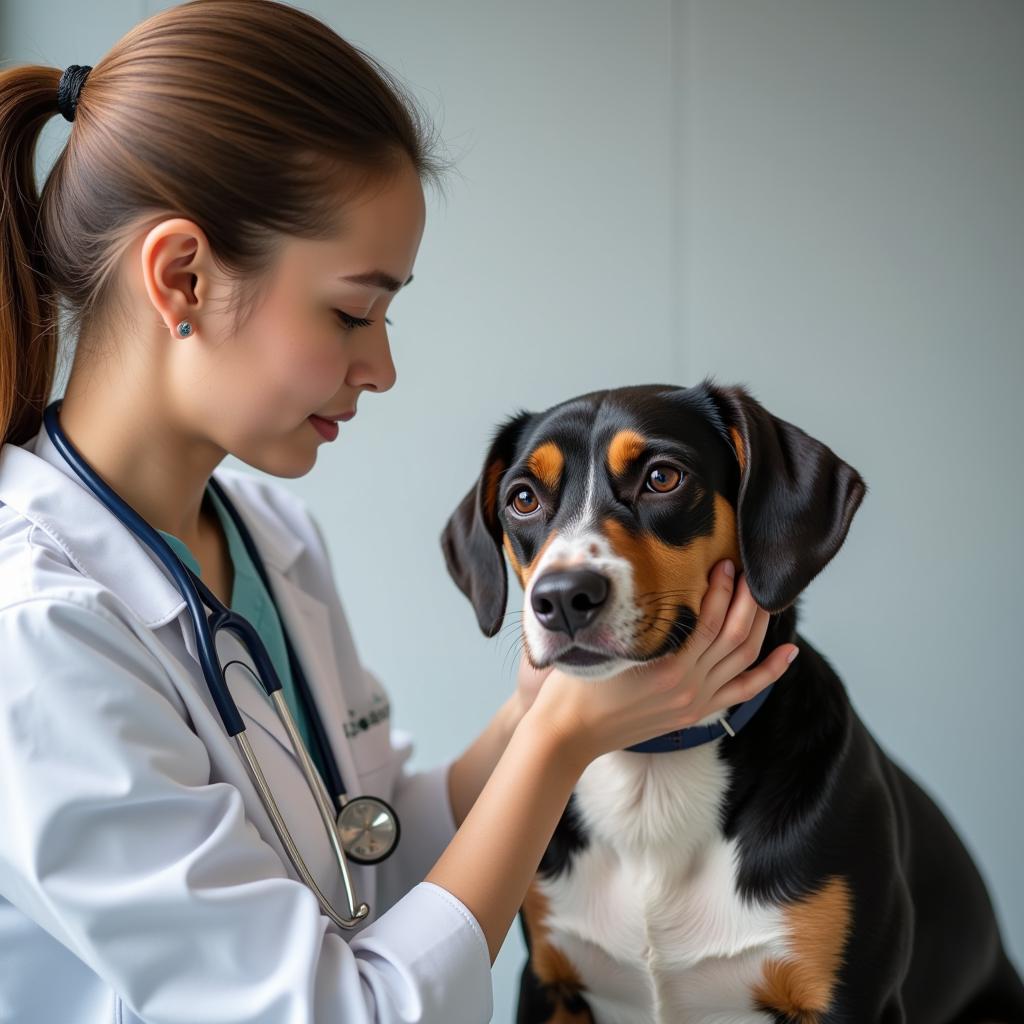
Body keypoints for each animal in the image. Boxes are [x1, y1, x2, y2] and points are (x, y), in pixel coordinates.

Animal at [438, 380, 1024, 1019]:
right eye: (523, 498)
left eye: (663, 478)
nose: (564, 596)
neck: (653, 779)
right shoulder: (549, 982)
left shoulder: (851, 997)